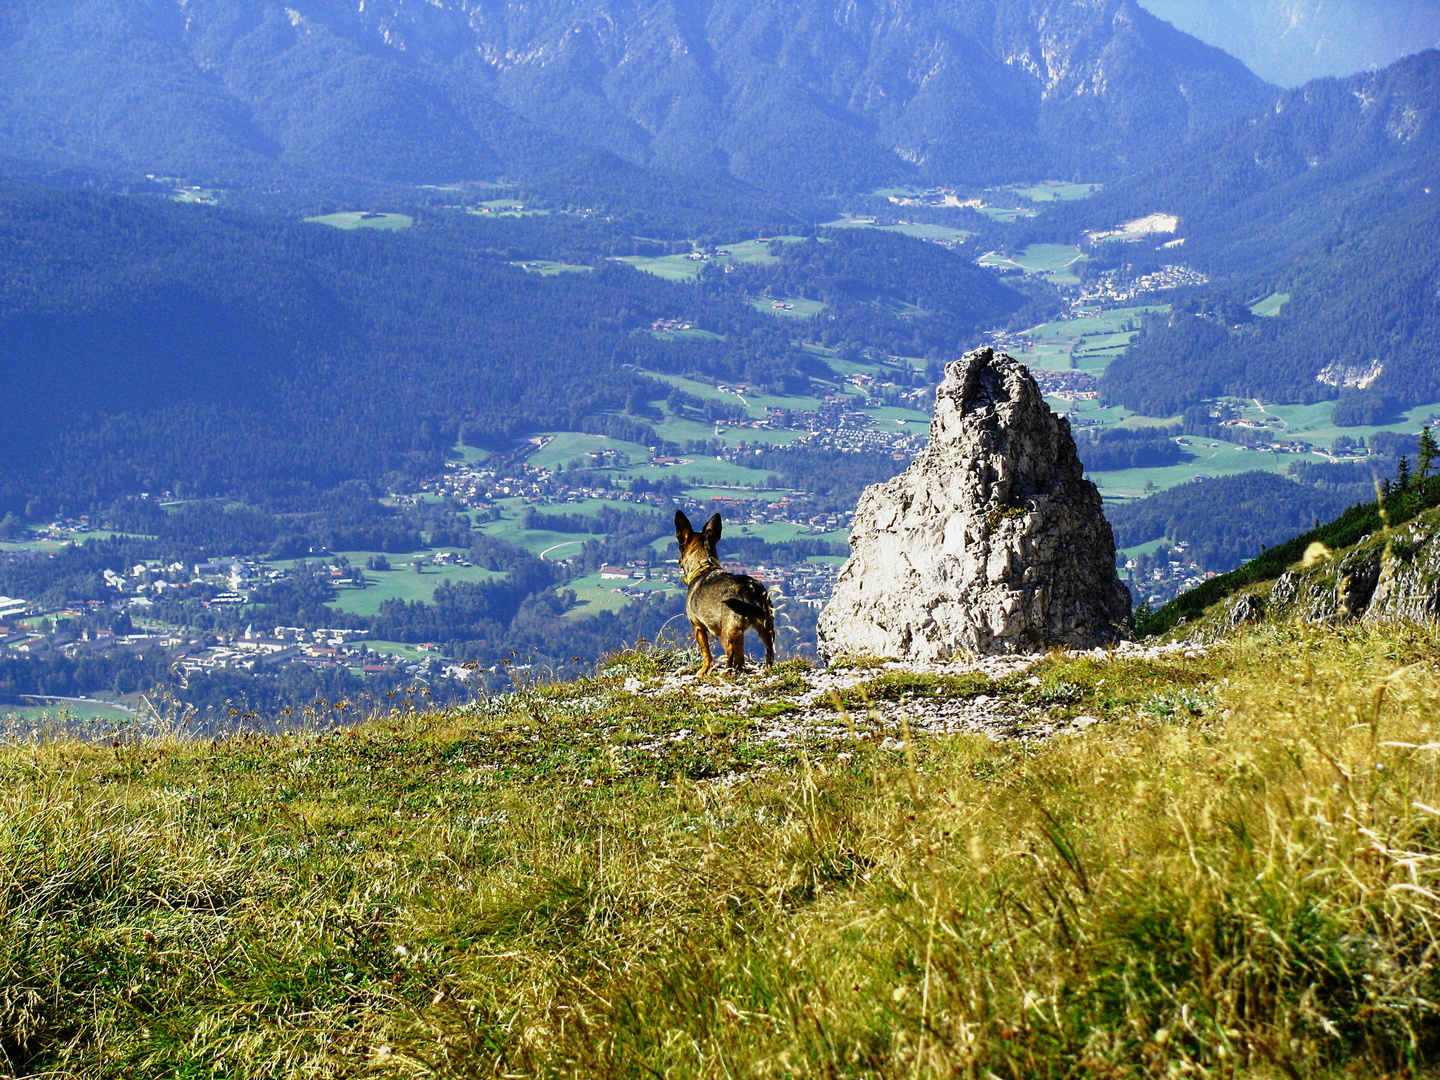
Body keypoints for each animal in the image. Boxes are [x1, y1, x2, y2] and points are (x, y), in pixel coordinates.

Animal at [673, 509, 777, 676]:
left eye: (679, 547)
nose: (678, 561)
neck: (704, 565)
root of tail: (750, 589)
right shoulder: (739, 634)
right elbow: (740, 655)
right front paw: (739, 669)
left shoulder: (698, 628)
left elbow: (706, 654)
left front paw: (703, 672)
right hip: (765, 628)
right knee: (768, 652)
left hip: (727, 631)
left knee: (729, 651)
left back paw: (726, 671)